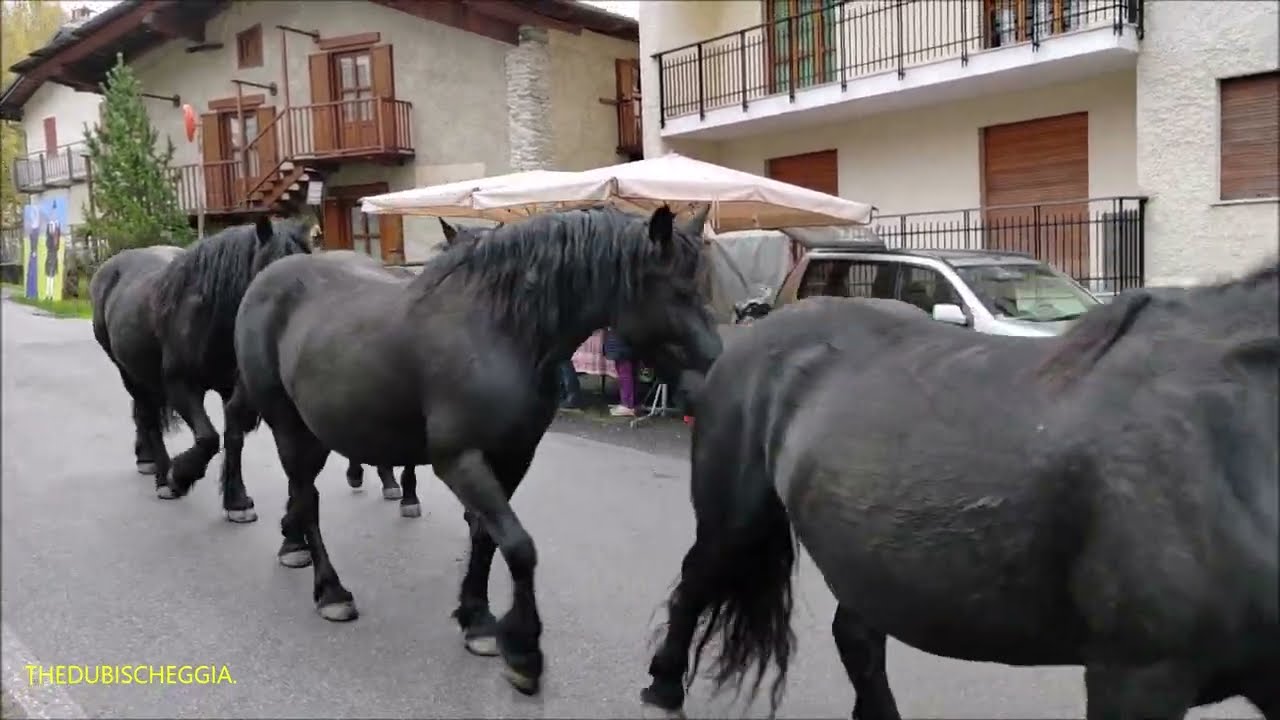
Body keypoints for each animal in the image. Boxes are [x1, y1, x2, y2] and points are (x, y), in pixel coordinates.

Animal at [89, 216, 312, 522]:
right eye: (272, 269)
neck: (209, 316)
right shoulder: (181, 385)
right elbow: (208, 438)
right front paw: (179, 477)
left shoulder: (233, 390)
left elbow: (233, 438)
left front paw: (237, 501)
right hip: (128, 373)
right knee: (148, 417)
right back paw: (162, 476)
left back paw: (146, 459)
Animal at [233, 204, 723, 695]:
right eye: (679, 291)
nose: (715, 374)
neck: (496, 332)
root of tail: (268, 277)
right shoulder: (459, 460)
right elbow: (519, 545)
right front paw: (523, 651)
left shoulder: (513, 457)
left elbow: (488, 536)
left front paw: (478, 620)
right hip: (290, 427)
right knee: (307, 499)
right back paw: (330, 590)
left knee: (303, 493)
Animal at [640, 268, 1280, 720]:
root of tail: (751, 336)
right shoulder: (1137, 674)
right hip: (734, 520)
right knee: (695, 582)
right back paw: (663, 685)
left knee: (858, 637)